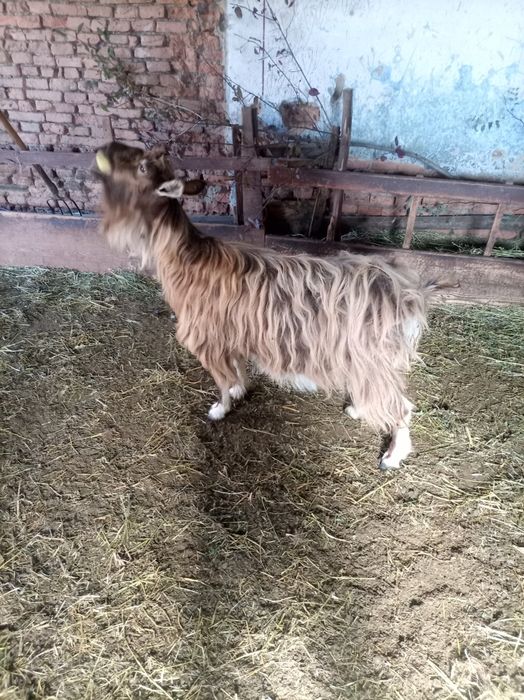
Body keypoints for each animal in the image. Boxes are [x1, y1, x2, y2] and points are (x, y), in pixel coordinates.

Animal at [94, 141, 449, 470]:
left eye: (142, 167)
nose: (104, 149)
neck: (188, 261)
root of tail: (409, 293)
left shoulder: (207, 340)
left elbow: (221, 381)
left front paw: (219, 410)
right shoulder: (230, 334)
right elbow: (235, 369)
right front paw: (239, 390)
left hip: (374, 357)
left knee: (401, 406)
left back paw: (391, 455)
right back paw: (357, 408)